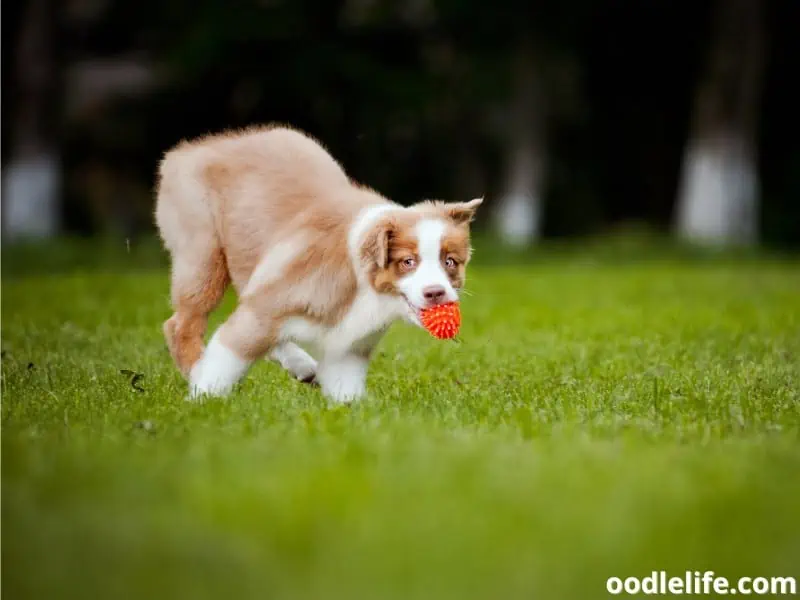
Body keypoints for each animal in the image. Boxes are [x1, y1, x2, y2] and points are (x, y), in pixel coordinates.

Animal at [155, 127, 482, 404]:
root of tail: (189, 151)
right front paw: (203, 397)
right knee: (181, 324)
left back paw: (302, 366)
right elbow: (226, 356)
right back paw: (195, 371)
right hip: (203, 254)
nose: (436, 293)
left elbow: (344, 387)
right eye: (408, 262)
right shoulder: (269, 303)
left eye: (450, 262)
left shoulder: (350, 346)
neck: (363, 285)